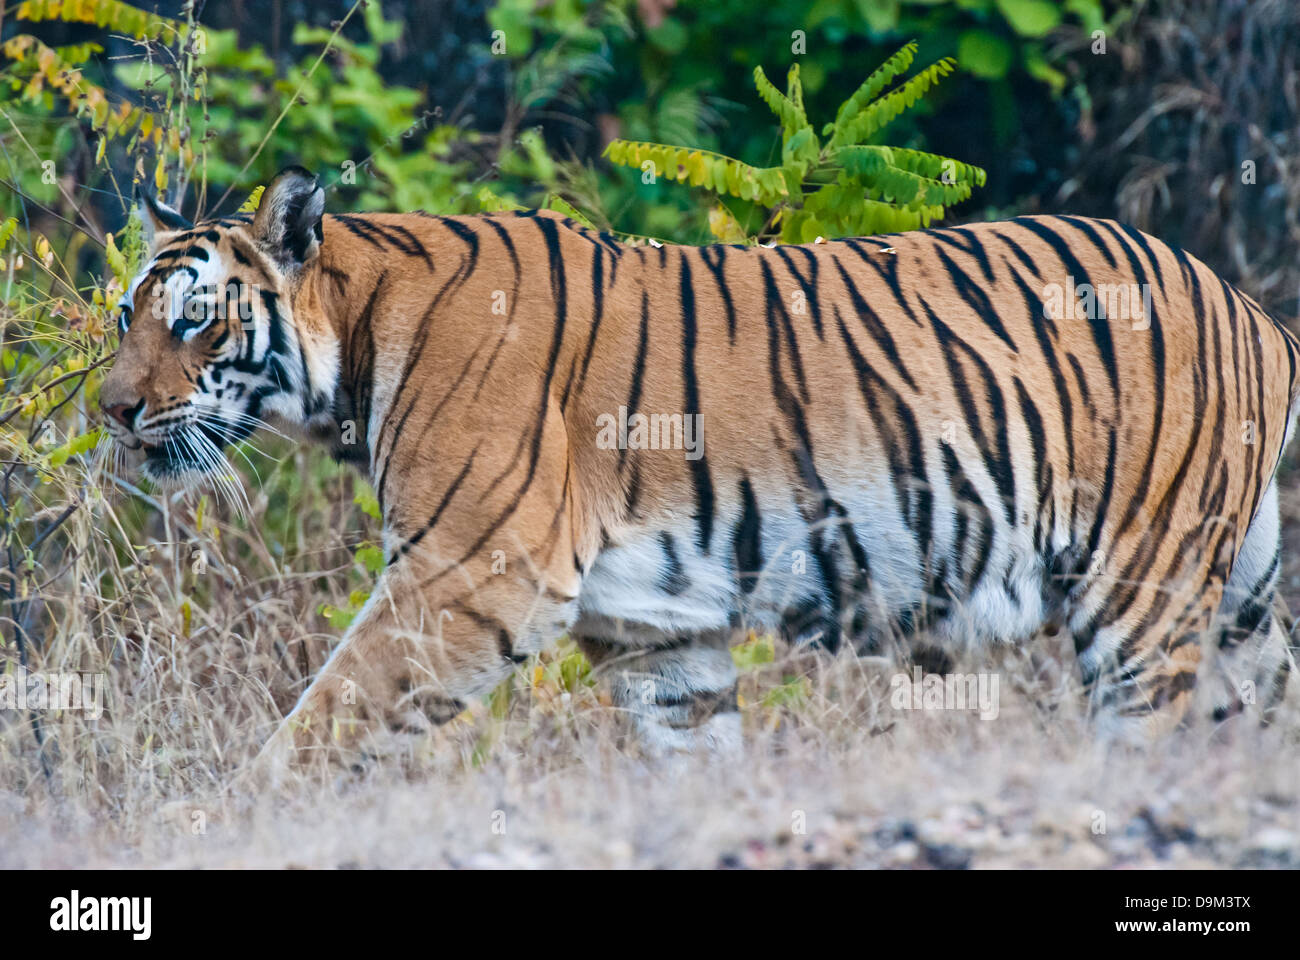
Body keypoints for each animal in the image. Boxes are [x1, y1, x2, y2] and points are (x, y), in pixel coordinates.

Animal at [101, 162, 1300, 764]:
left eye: (195, 320)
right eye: (126, 318)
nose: (111, 412)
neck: (354, 339)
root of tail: (1250, 310)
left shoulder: (469, 574)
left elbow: (321, 720)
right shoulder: (653, 630)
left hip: (1141, 596)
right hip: (1240, 601)